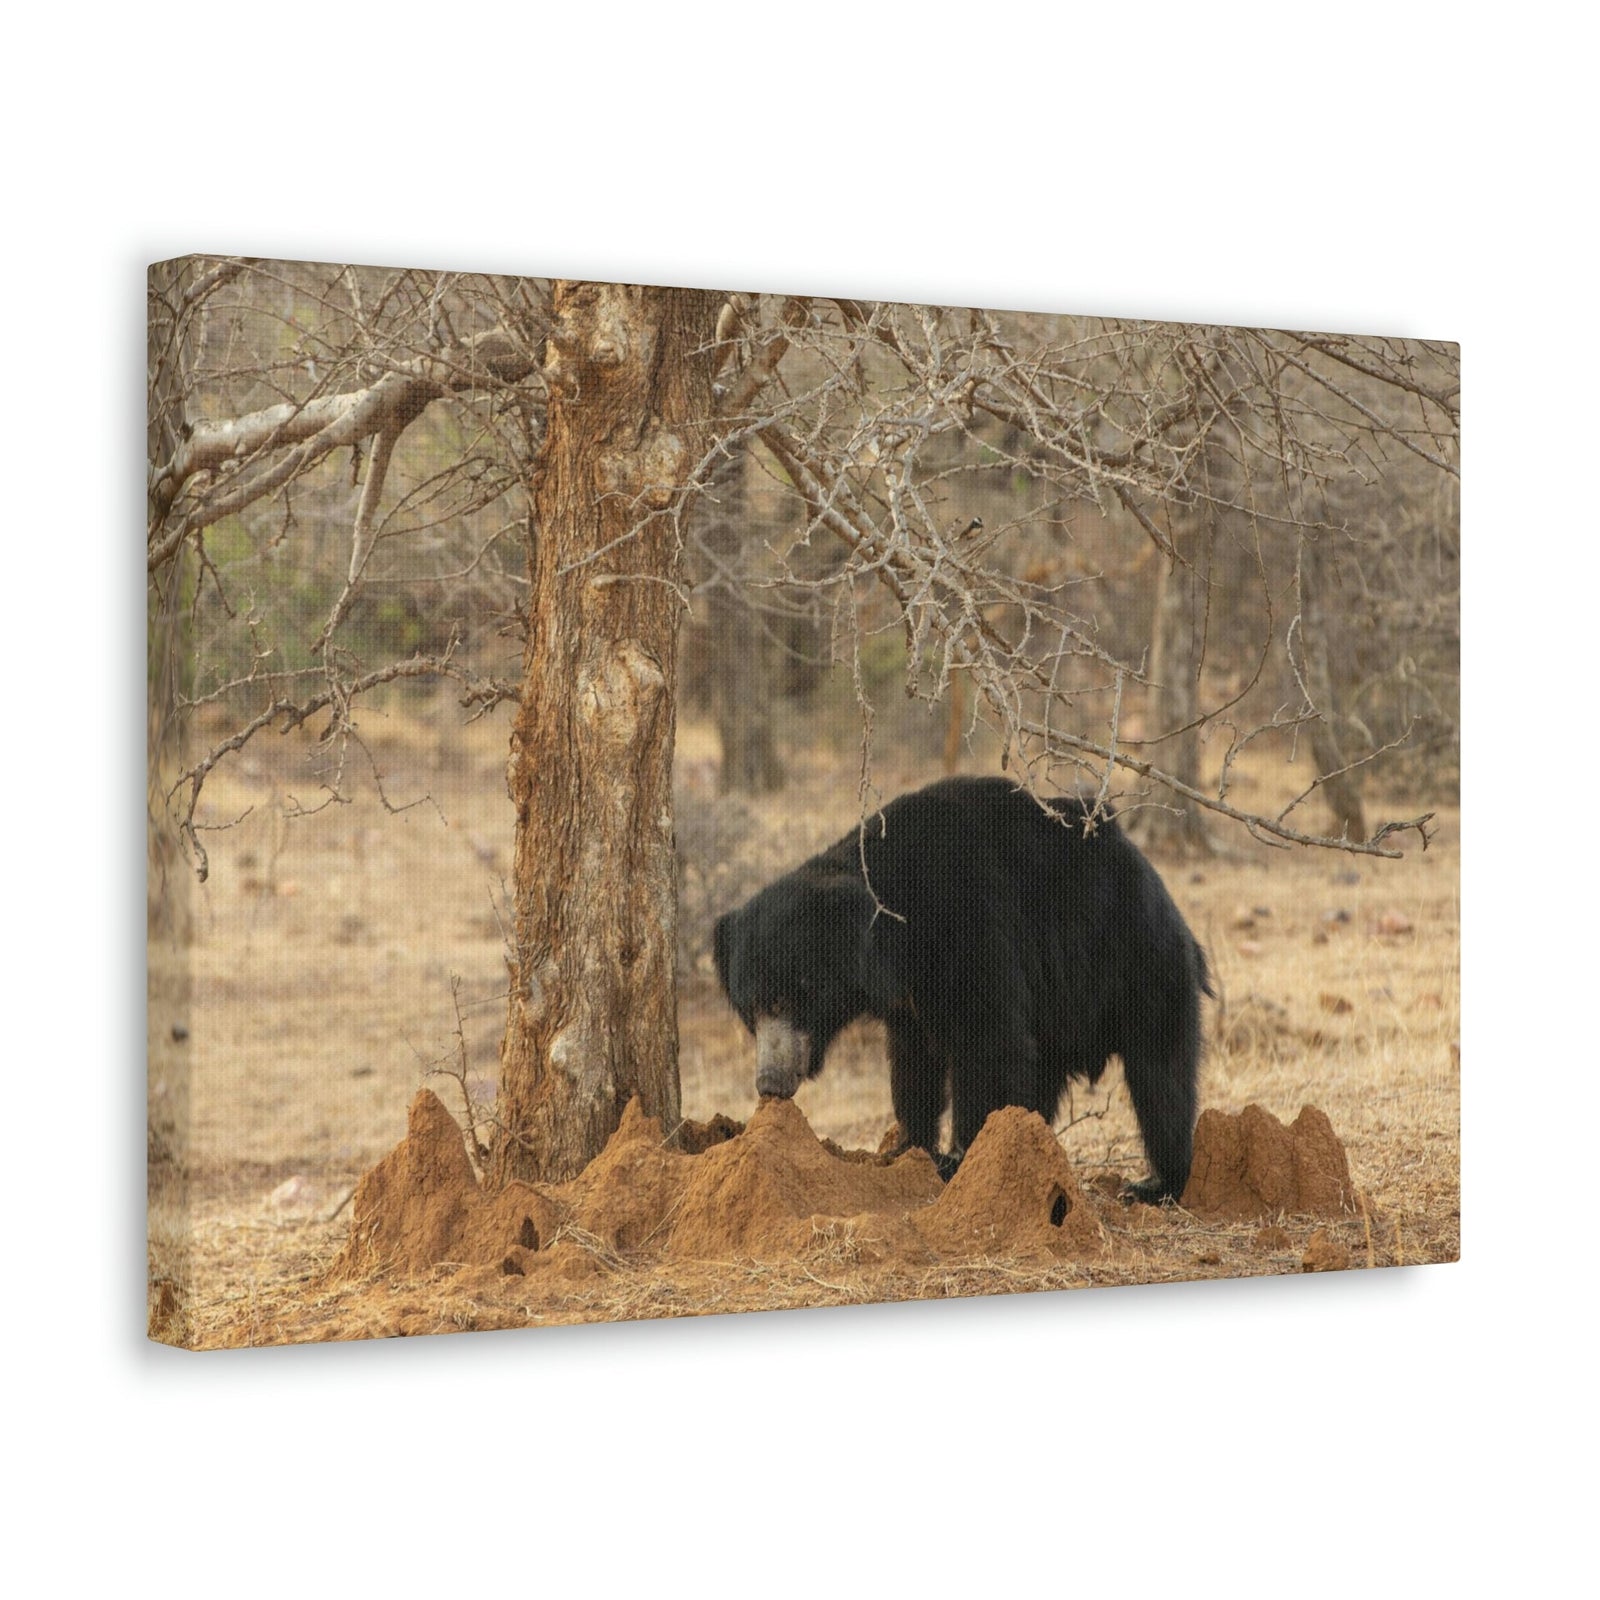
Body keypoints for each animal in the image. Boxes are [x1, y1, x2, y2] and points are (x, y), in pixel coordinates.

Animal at [712, 775, 1212, 1203]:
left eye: (787, 998)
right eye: (749, 1010)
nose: (770, 1083)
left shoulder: (968, 926)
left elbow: (988, 1040)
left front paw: (961, 1160)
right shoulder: (907, 999)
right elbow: (913, 1063)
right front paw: (907, 1149)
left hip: (1135, 965)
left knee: (1160, 1074)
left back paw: (1154, 1184)